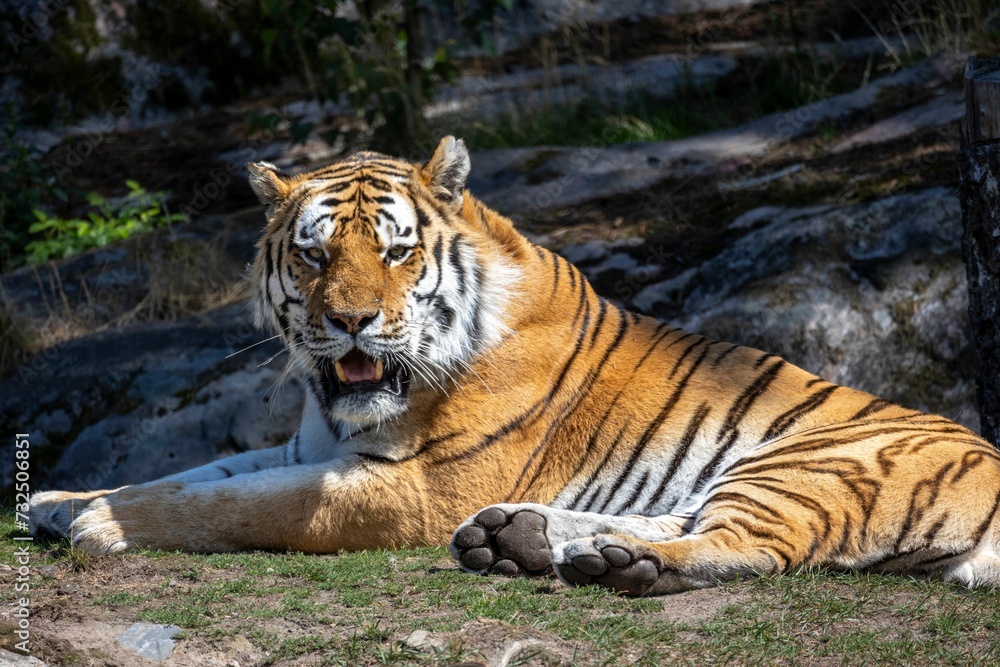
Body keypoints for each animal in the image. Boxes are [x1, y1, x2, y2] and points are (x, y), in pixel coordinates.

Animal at [29, 136, 1000, 596]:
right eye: (312, 254)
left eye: (396, 252)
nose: (351, 321)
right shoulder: (310, 447)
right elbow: (202, 470)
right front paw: (58, 499)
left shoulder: (413, 486)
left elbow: (235, 504)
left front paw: (100, 524)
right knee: (681, 518)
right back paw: (530, 540)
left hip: (803, 463)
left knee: (751, 546)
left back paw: (613, 565)